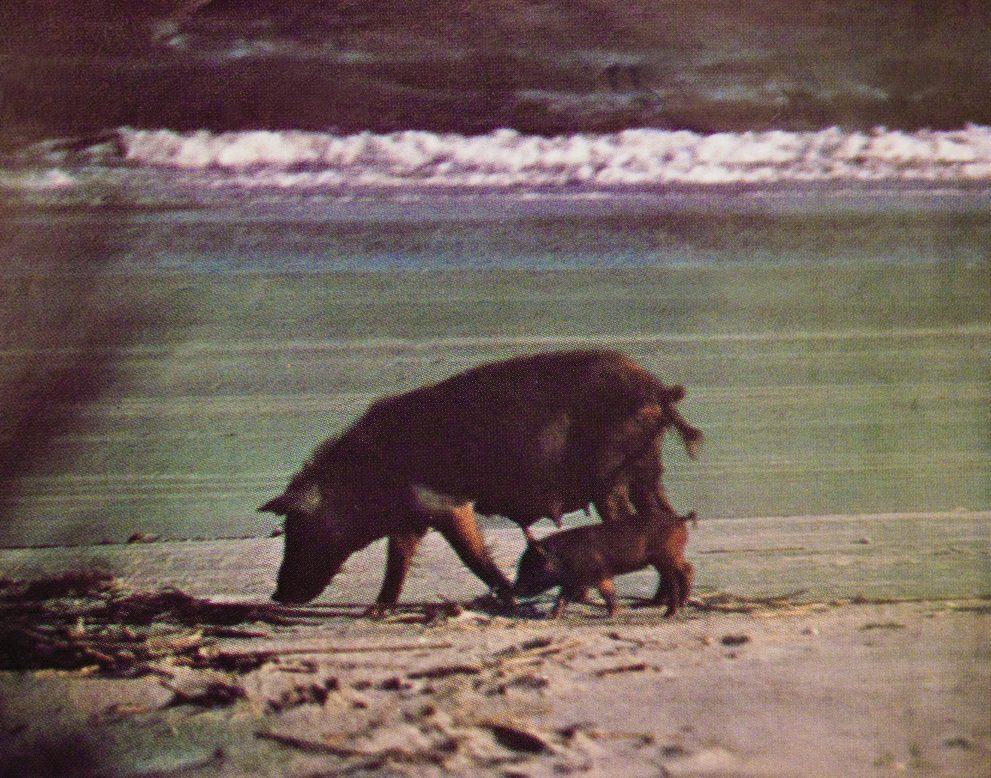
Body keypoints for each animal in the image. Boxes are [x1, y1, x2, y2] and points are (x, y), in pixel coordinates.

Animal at [514, 510, 697, 618]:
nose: (514, 589)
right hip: (672, 557)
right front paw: (551, 616)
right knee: (687, 569)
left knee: (677, 577)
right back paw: (681, 605)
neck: (563, 558)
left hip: (667, 557)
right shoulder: (578, 581)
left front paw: (612, 614)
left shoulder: (595, 576)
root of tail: (681, 519)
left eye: (530, 567)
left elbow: (604, 593)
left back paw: (669, 613)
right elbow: (563, 597)